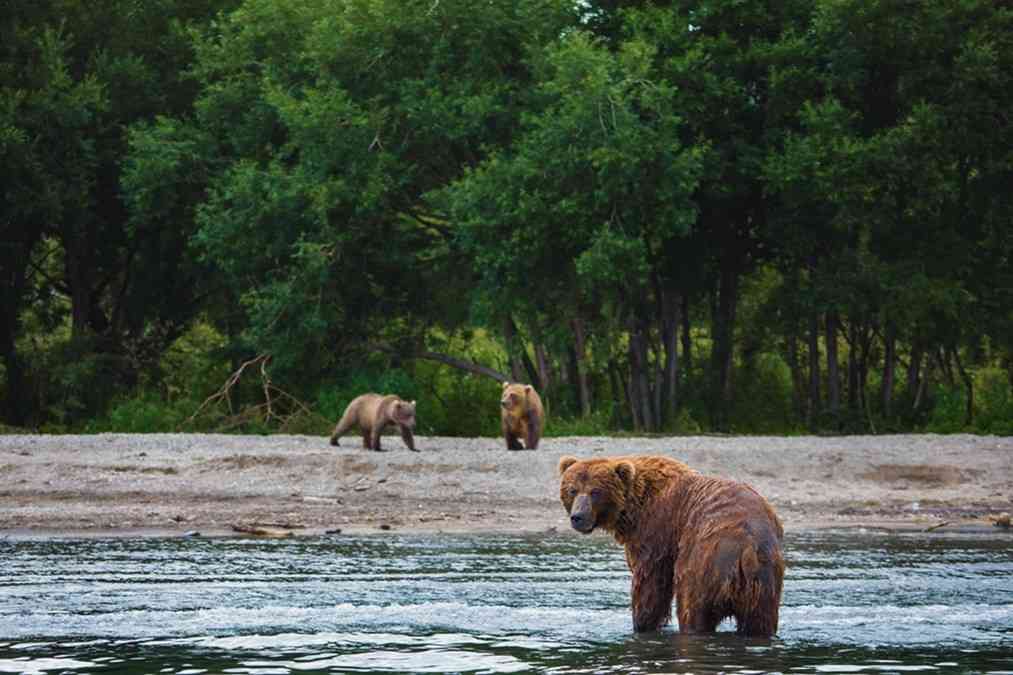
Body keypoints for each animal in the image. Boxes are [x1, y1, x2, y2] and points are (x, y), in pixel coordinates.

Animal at [555, 454, 782, 632]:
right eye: (572, 490)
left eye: (595, 491)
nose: (578, 517)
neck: (633, 509)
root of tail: (747, 550)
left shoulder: (657, 529)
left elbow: (650, 583)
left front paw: (642, 623)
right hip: (765, 580)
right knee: (760, 621)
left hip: (705, 559)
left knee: (692, 606)